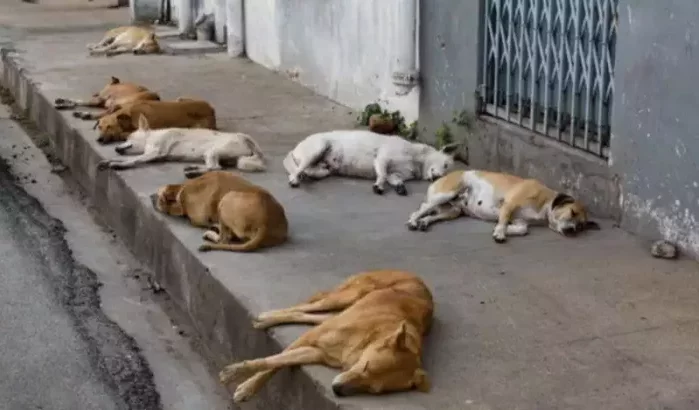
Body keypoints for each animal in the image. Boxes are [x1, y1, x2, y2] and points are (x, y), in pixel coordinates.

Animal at [95, 115, 266, 179]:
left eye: (128, 138)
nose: (116, 148)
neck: (151, 137)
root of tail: (246, 139)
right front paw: (109, 160)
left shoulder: (154, 152)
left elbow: (134, 160)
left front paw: (118, 164)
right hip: (217, 155)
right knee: (216, 167)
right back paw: (194, 169)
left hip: (213, 151)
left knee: (215, 168)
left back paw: (193, 172)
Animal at [150, 171, 288, 253]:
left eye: (159, 197)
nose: (151, 196)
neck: (181, 190)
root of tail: (265, 224)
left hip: (226, 199)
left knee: (224, 239)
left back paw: (212, 234)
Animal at [219, 270, 434, 402]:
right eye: (366, 366)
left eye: (373, 389)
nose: (337, 390)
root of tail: (417, 277)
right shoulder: (309, 338)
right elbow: (270, 363)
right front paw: (242, 381)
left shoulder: (317, 352)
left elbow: (279, 362)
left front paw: (245, 383)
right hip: (346, 297)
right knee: (308, 306)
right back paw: (267, 317)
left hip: (342, 308)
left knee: (314, 316)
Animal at [282, 131, 462, 196]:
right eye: (446, 165)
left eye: (446, 173)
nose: (437, 177)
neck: (416, 159)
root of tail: (295, 148)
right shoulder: (382, 159)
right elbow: (381, 175)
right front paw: (379, 186)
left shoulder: (395, 174)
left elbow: (394, 179)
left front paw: (400, 187)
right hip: (318, 147)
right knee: (297, 170)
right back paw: (295, 179)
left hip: (323, 168)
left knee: (312, 170)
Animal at [404, 169, 600, 242]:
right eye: (572, 212)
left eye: (580, 226)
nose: (572, 230)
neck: (545, 203)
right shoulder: (509, 204)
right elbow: (504, 220)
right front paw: (500, 232)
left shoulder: (521, 221)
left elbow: (521, 229)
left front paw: (505, 230)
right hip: (446, 194)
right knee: (420, 209)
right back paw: (413, 221)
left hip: (453, 211)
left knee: (432, 214)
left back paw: (424, 223)